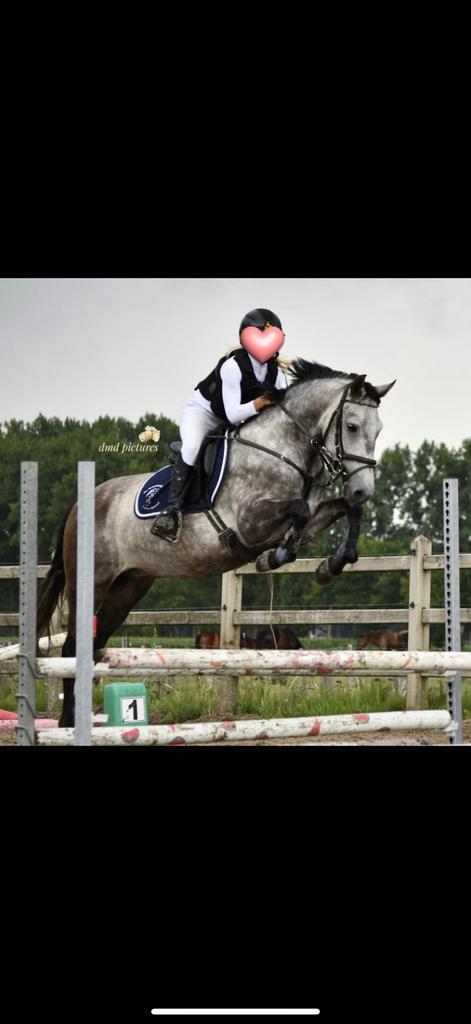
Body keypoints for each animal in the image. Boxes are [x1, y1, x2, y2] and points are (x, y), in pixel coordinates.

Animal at [37, 359, 394, 726]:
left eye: (378, 430)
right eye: (351, 426)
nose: (363, 490)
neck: (282, 449)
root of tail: (81, 501)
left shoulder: (309, 519)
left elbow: (342, 511)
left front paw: (329, 565)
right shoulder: (250, 523)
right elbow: (298, 511)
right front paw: (277, 555)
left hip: (129, 586)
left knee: (94, 643)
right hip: (92, 581)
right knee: (72, 647)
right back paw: (67, 721)